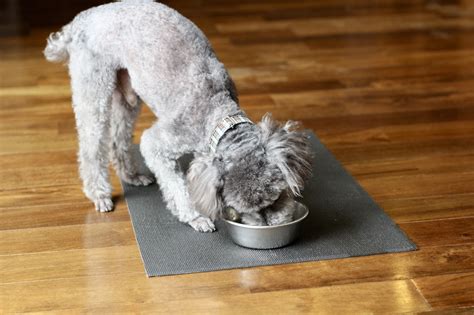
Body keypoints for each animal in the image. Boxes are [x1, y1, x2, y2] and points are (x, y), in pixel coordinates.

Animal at [43, 0, 312, 232]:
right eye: (244, 208)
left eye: (276, 198)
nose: (268, 226)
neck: (217, 114)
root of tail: (80, 20)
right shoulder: (159, 144)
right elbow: (178, 186)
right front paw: (195, 216)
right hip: (93, 88)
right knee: (91, 147)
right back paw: (99, 193)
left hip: (127, 96)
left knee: (118, 139)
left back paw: (131, 175)